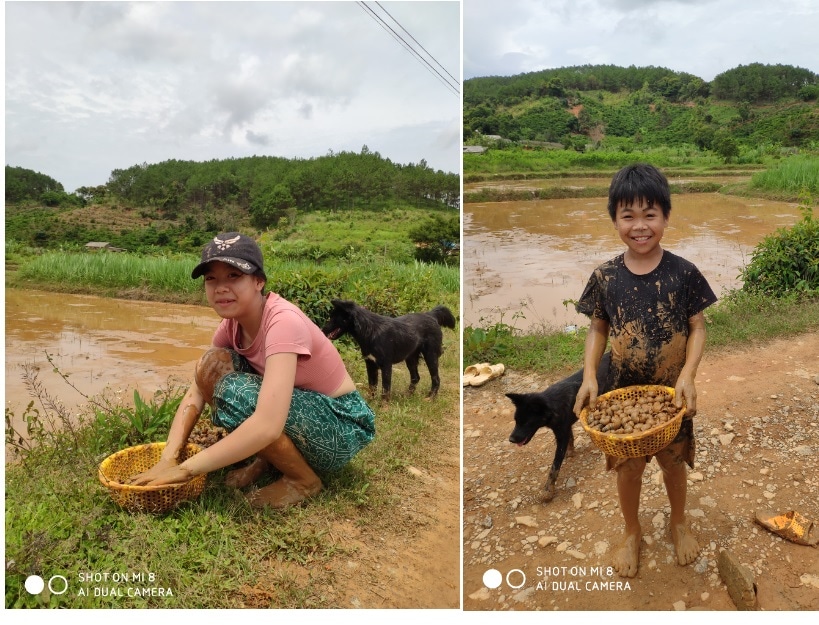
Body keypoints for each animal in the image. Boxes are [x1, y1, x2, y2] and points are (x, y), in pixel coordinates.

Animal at [322, 298, 454, 400]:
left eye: (334, 317)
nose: (322, 330)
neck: (370, 331)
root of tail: (430, 314)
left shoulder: (386, 365)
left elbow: (385, 388)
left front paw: (384, 406)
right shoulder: (370, 364)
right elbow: (372, 386)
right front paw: (371, 403)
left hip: (430, 355)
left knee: (436, 378)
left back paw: (430, 397)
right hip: (410, 358)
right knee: (416, 377)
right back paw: (407, 395)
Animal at [510, 352, 612, 502]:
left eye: (526, 423)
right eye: (516, 421)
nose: (510, 440)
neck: (552, 405)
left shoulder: (561, 434)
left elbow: (555, 466)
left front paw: (548, 490)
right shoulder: (565, 428)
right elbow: (571, 438)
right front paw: (571, 452)